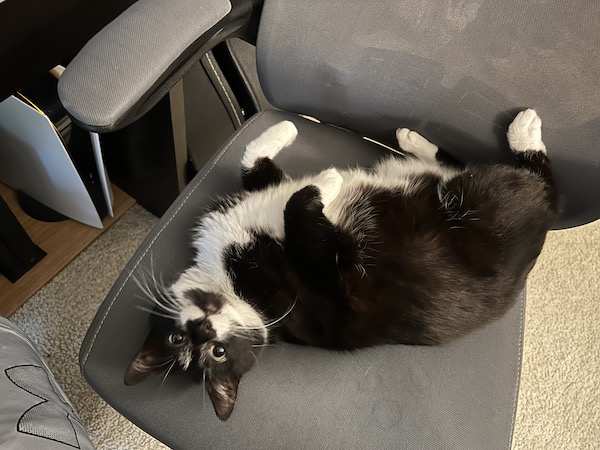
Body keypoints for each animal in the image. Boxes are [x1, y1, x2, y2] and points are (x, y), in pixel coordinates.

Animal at [125, 110, 556, 422]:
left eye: (178, 338)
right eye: (212, 352)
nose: (202, 327)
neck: (230, 280)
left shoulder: (261, 192)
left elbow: (253, 161)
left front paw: (285, 129)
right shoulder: (328, 280)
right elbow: (297, 208)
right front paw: (328, 180)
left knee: (453, 165)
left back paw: (412, 139)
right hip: (487, 204)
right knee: (544, 184)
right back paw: (525, 132)